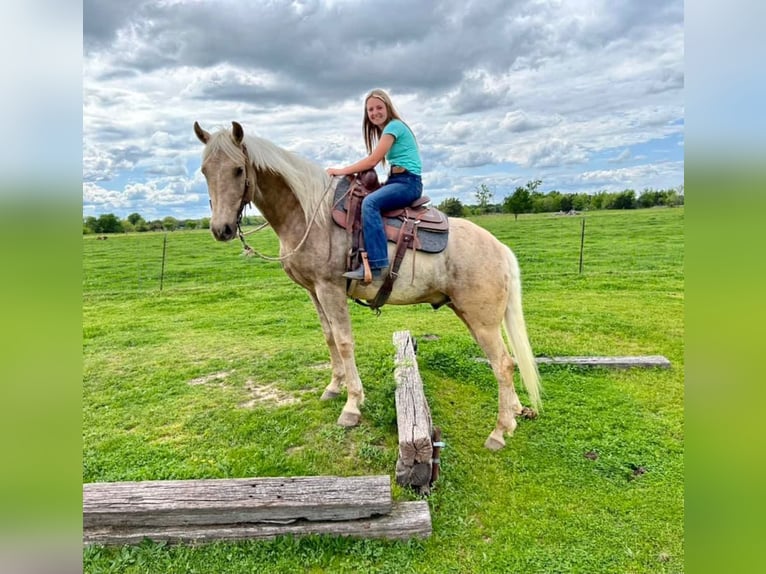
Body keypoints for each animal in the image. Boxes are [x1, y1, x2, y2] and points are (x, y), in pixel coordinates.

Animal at [194, 122, 540, 454]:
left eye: (238, 170)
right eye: (205, 170)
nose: (221, 229)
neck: (309, 216)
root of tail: (499, 248)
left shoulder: (330, 289)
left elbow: (345, 342)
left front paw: (352, 405)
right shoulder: (313, 291)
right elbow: (329, 338)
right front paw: (334, 387)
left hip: (482, 321)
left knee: (503, 365)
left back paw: (498, 432)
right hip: (472, 315)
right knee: (506, 362)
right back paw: (514, 414)